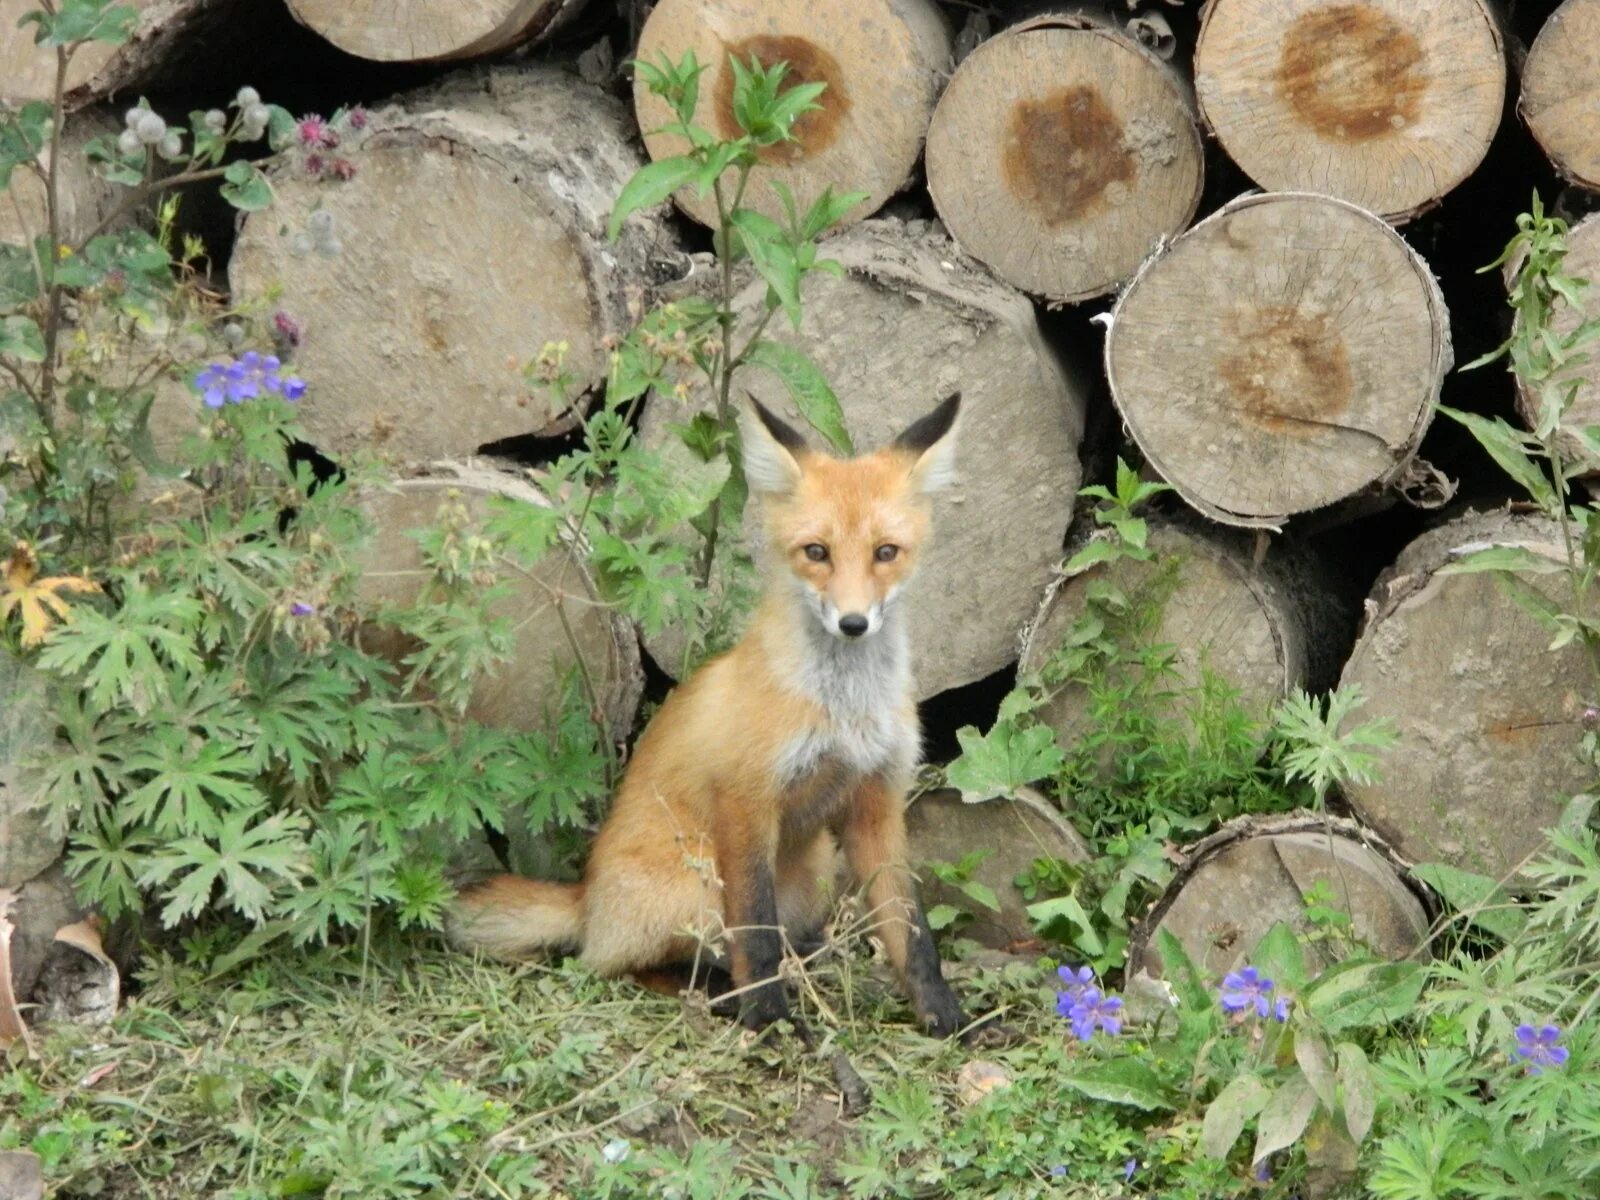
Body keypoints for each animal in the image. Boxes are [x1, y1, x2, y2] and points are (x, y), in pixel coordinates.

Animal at [451, 392, 972, 1043]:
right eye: (817, 553)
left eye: (885, 553)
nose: (853, 623)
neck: (842, 708)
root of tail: (586, 898)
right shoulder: (745, 799)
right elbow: (753, 927)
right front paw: (770, 1020)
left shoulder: (877, 798)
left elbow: (912, 929)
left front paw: (944, 1016)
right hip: (695, 886)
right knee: (619, 963)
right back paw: (718, 992)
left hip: (816, 870)